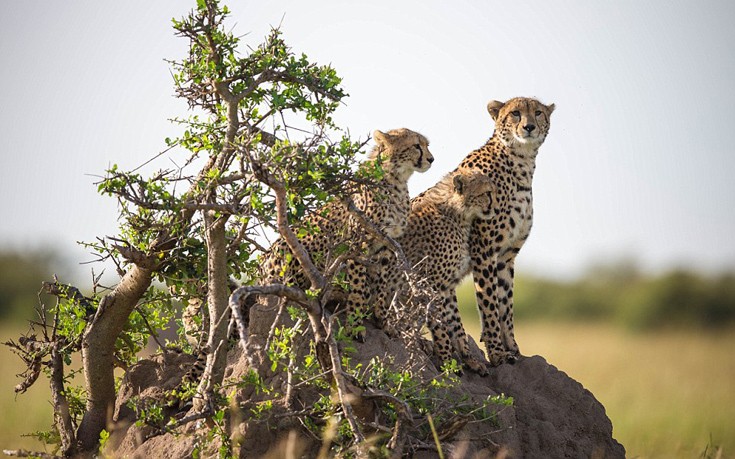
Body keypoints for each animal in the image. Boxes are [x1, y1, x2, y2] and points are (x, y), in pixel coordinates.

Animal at [260, 128, 434, 338]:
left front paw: (382, 320)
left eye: (426, 145)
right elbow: (359, 286)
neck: (397, 180)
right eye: (416, 145)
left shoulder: (387, 244)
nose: (432, 159)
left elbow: (382, 286)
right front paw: (355, 324)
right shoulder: (359, 243)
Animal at [376, 171, 498, 376]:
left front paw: (469, 359)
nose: (494, 208)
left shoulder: (447, 286)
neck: (455, 213)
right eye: (486, 193)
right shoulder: (431, 284)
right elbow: (440, 323)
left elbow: (456, 323)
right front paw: (447, 361)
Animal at [458, 97, 556, 366]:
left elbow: (505, 303)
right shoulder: (484, 250)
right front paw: (496, 353)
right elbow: (489, 302)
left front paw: (512, 347)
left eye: (538, 112)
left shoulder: (506, 255)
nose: (529, 127)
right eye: (515, 113)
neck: (521, 161)